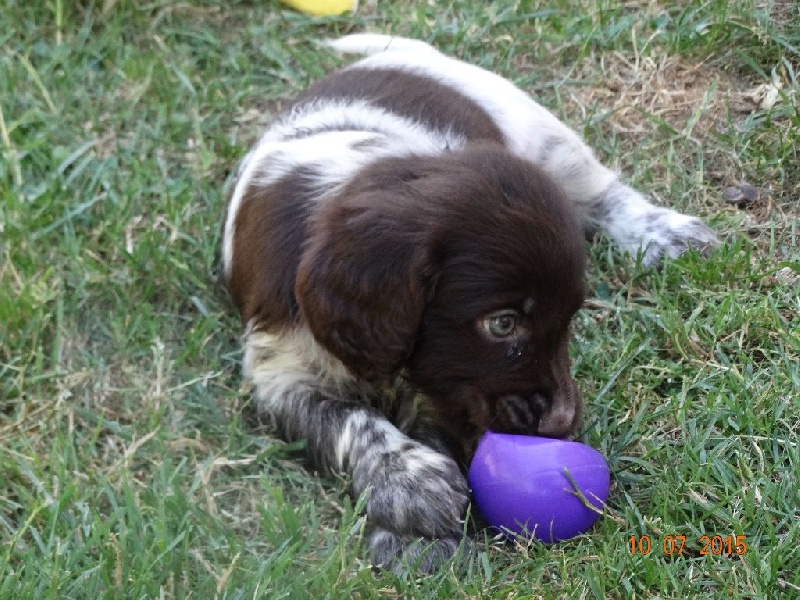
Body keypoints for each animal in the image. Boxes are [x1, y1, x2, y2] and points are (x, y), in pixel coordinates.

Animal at [220, 34, 720, 572]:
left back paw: (667, 235)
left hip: (543, 134)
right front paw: (410, 486)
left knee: (604, 193)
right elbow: (346, 420)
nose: (564, 423)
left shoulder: (439, 382)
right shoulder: (280, 369)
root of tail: (409, 53)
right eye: (502, 325)